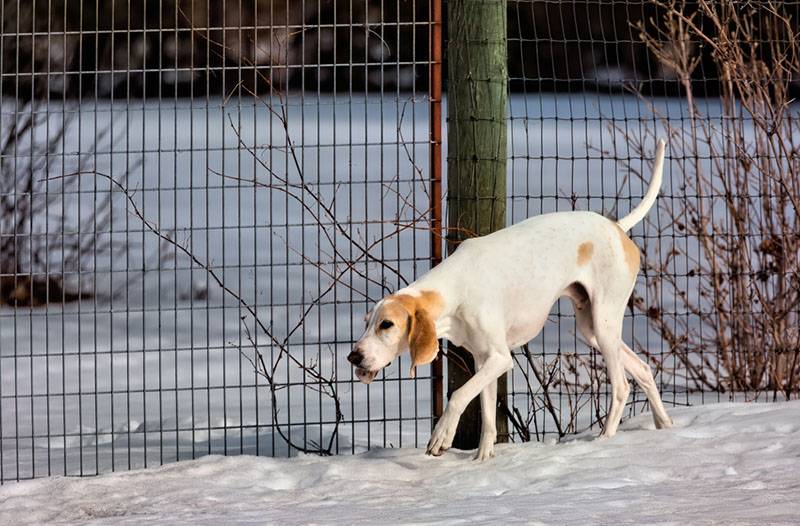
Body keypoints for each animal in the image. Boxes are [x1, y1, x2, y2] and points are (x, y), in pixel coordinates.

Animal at [350, 139, 668, 458]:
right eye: (366, 322)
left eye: (387, 324)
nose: (353, 357)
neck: (455, 286)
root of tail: (616, 227)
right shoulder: (483, 360)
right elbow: (489, 420)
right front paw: (482, 460)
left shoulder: (500, 359)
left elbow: (459, 395)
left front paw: (442, 435)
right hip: (592, 330)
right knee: (643, 369)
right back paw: (664, 424)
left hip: (603, 326)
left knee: (622, 386)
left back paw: (605, 440)